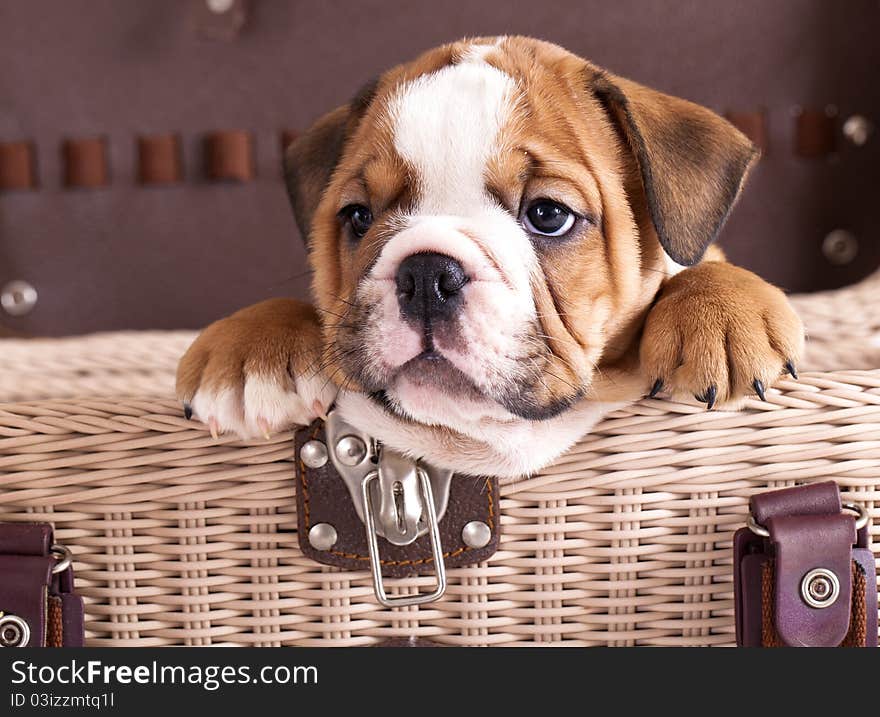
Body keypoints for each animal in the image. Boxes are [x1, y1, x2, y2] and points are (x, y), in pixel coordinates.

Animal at [177, 36, 804, 478]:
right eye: (358, 217)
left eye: (548, 215)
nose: (427, 273)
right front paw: (249, 353)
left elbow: (701, 267)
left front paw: (721, 318)